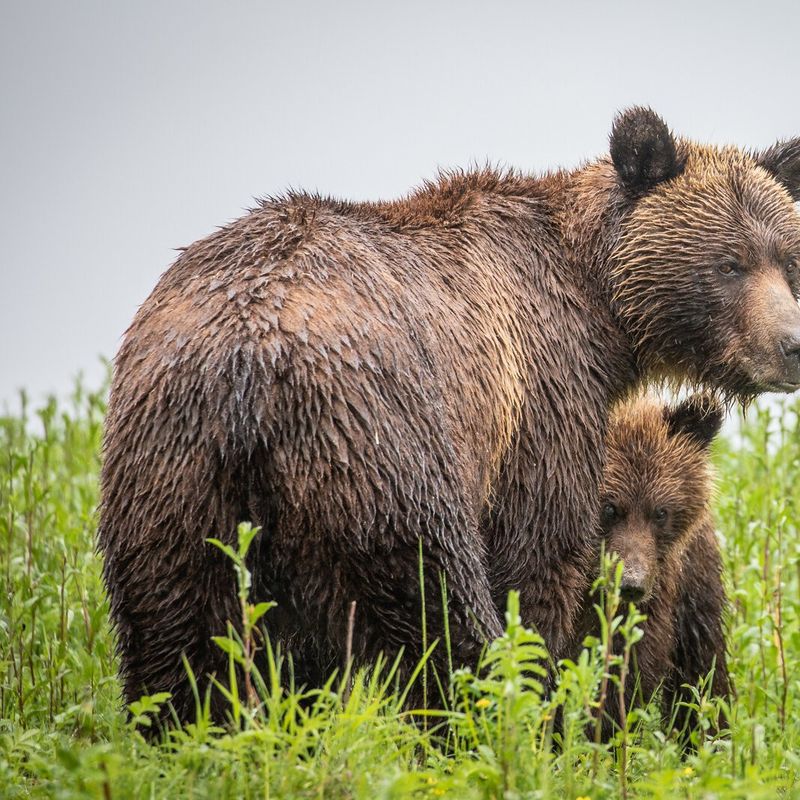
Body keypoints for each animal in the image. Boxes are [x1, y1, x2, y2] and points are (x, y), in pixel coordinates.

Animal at [593, 393, 729, 742]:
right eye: (609, 508)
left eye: (660, 512)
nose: (631, 583)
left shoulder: (660, 589)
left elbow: (631, 661)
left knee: (702, 661)